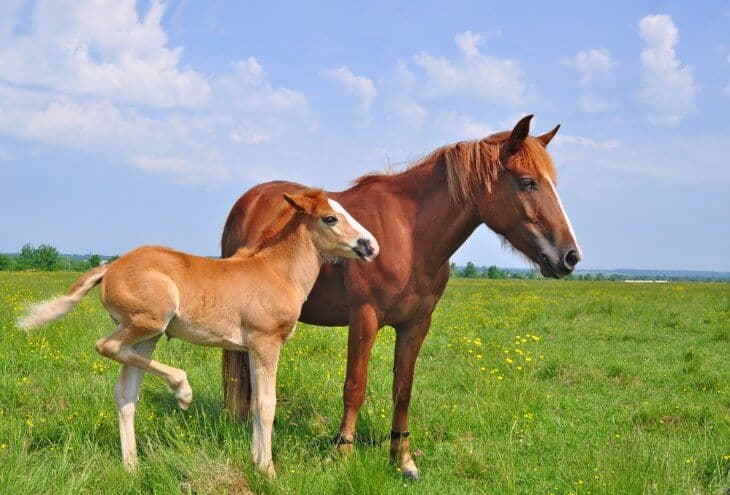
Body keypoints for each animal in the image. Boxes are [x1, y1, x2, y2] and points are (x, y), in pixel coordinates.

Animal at [18, 189, 379, 477]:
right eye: (330, 218)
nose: (370, 246)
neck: (276, 272)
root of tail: (110, 268)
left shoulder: (251, 348)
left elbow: (254, 403)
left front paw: (254, 460)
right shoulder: (266, 342)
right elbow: (266, 404)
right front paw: (268, 470)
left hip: (146, 336)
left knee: (125, 393)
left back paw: (132, 466)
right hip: (149, 322)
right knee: (105, 346)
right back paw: (182, 390)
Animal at [221, 115, 582, 479]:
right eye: (527, 182)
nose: (570, 256)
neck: (408, 236)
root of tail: (248, 200)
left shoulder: (416, 324)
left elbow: (403, 390)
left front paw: (402, 459)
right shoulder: (363, 318)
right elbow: (355, 387)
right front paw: (343, 455)